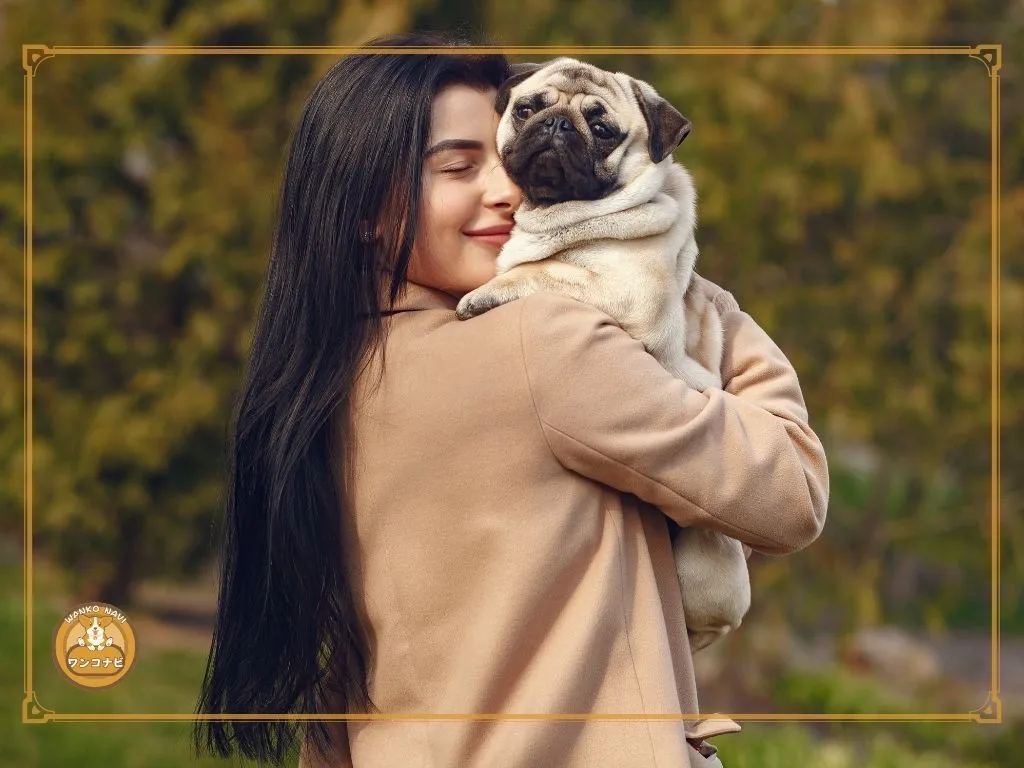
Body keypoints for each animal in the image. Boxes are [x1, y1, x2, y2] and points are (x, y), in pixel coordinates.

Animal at [456, 58, 753, 655]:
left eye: (603, 129)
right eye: (528, 107)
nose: (556, 126)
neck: (555, 215)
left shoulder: (626, 295)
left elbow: (542, 270)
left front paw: (484, 293)